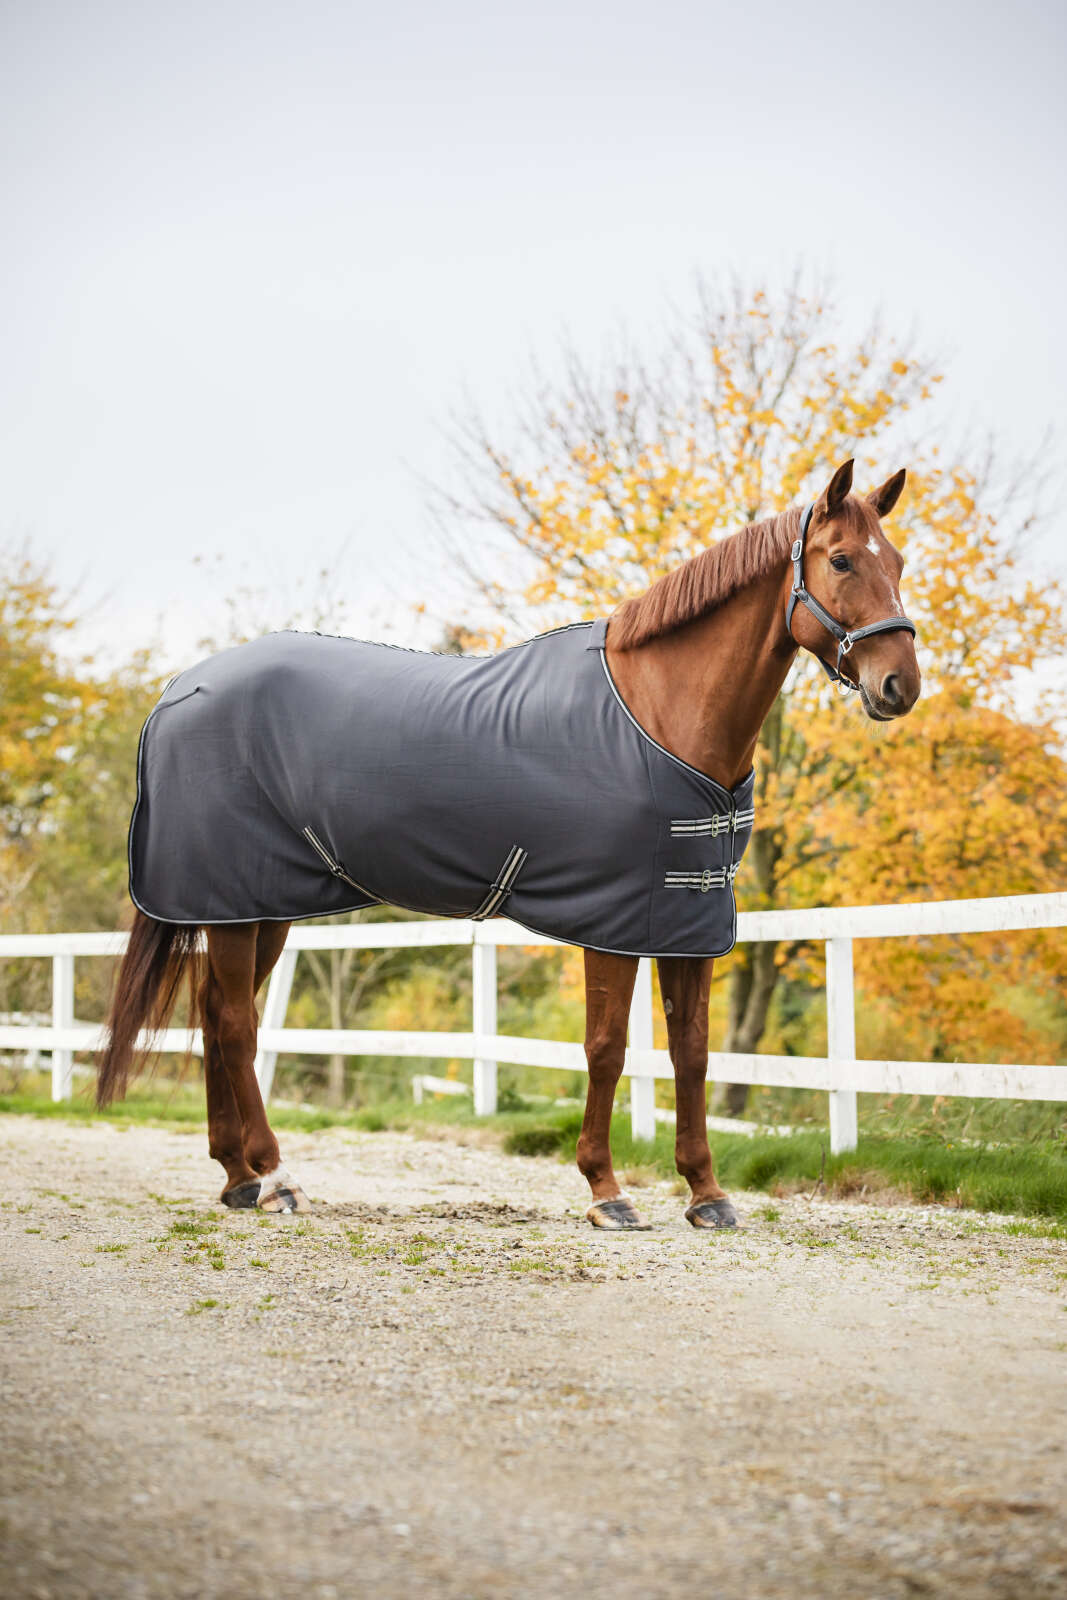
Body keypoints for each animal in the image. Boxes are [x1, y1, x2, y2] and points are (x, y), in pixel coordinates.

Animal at [96, 459, 920, 1229]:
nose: (899, 686)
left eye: (900, 561)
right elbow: (606, 1048)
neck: (659, 713)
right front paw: (607, 1191)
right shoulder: (617, 919)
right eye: (841, 560)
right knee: (236, 1023)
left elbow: (691, 1052)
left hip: (255, 903)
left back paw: (236, 1177)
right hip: (235, 900)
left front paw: (707, 1194)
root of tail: (177, 690)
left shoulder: (689, 919)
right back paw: (274, 1177)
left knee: (215, 1012)